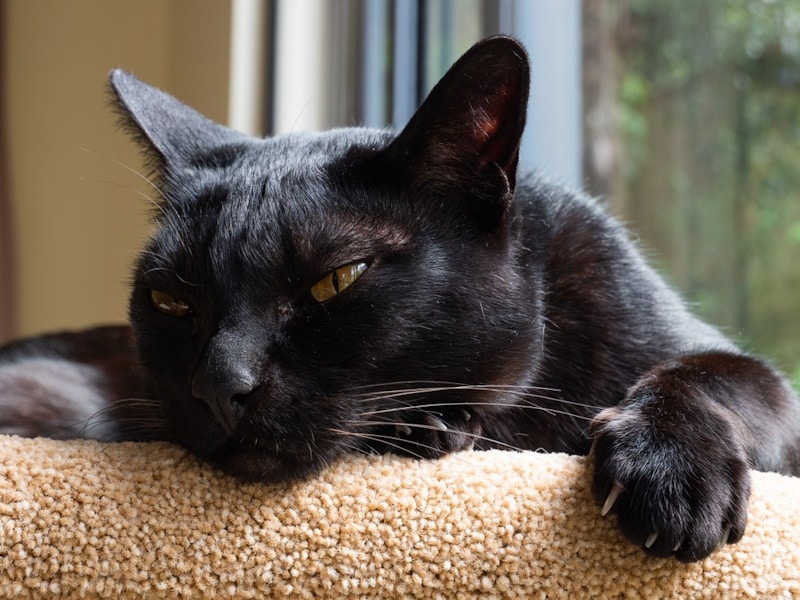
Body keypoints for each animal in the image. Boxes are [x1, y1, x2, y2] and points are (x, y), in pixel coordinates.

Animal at [1, 37, 800, 564]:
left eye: (337, 278)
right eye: (171, 302)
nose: (219, 386)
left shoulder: (732, 372)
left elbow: (709, 374)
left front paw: (669, 471)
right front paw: (427, 425)